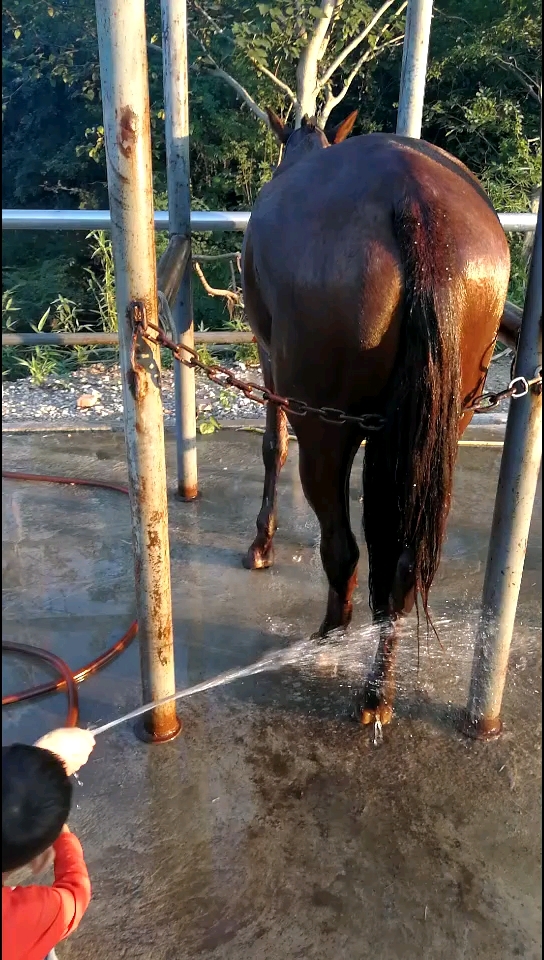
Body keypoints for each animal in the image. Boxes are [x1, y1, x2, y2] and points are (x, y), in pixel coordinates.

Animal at [240, 109, 510, 726]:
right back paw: (377, 689)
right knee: (403, 562)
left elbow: (272, 447)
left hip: (326, 425)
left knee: (341, 548)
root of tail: (414, 201)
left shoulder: (269, 360)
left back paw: (331, 642)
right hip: (446, 421)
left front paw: (262, 543)